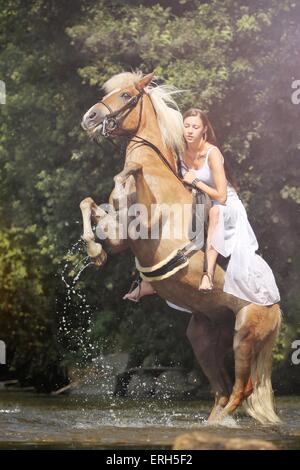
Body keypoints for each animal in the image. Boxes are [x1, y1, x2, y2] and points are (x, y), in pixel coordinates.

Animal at [79, 70, 282, 426]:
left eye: (126, 95)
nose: (90, 117)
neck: (155, 172)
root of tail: (278, 306)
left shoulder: (144, 226)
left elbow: (123, 178)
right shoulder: (121, 237)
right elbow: (89, 204)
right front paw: (94, 251)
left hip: (244, 335)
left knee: (241, 389)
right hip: (204, 335)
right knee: (222, 390)